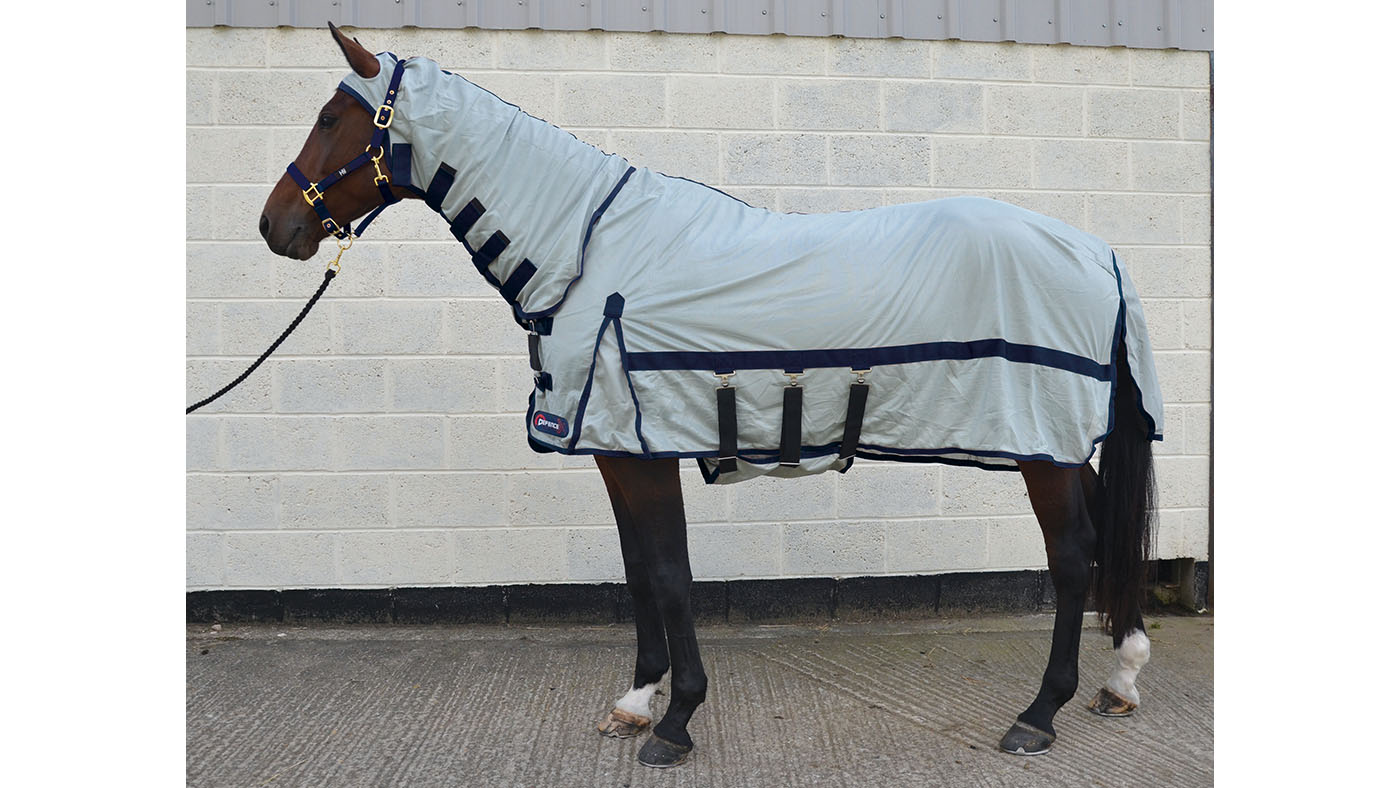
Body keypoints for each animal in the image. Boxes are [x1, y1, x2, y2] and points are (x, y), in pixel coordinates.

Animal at [258, 24, 1162, 768]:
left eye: (332, 119)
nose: (274, 228)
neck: (588, 252)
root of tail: (1099, 251)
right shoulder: (618, 452)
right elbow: (637, 570)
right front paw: (635, 701)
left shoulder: (642, 451)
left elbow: (668, 572)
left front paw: (675, 721)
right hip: (1054, 444)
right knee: (1099, 538)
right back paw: (1120, 679)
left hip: (1042, 444)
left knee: (1073, 553)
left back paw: (1040, 714)